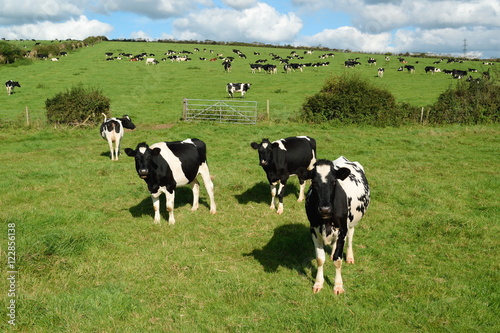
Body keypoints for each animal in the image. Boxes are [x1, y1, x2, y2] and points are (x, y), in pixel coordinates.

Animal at [302, 156, 370, 294]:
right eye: (313, 182)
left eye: (334, 182)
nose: (325, 209)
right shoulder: (314, 230)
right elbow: (320, 259)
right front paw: (318, 283)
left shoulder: (342, 230)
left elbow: (338, 260)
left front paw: (338, 286)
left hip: (351, 224)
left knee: (350, 238)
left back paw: (349, 256)